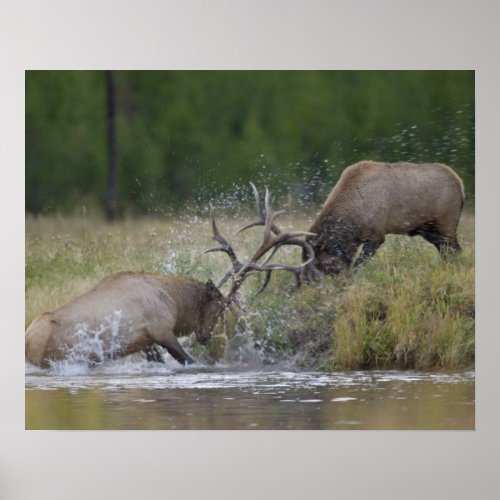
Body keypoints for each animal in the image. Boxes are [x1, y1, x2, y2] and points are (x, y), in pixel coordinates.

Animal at [25, 186, 314, 370]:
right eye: (220, 307)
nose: (206, 337)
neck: (175, 301)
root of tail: (28, 344)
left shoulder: (144, 343)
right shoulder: (161, 329)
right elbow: (189, 361)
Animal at [304, 160, 464, 276]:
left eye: (320, 264)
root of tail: (460, 185)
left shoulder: (376, 235)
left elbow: (358, 265)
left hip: (446, 225)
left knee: (455, 251)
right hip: (429, 231)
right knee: (448, 252)